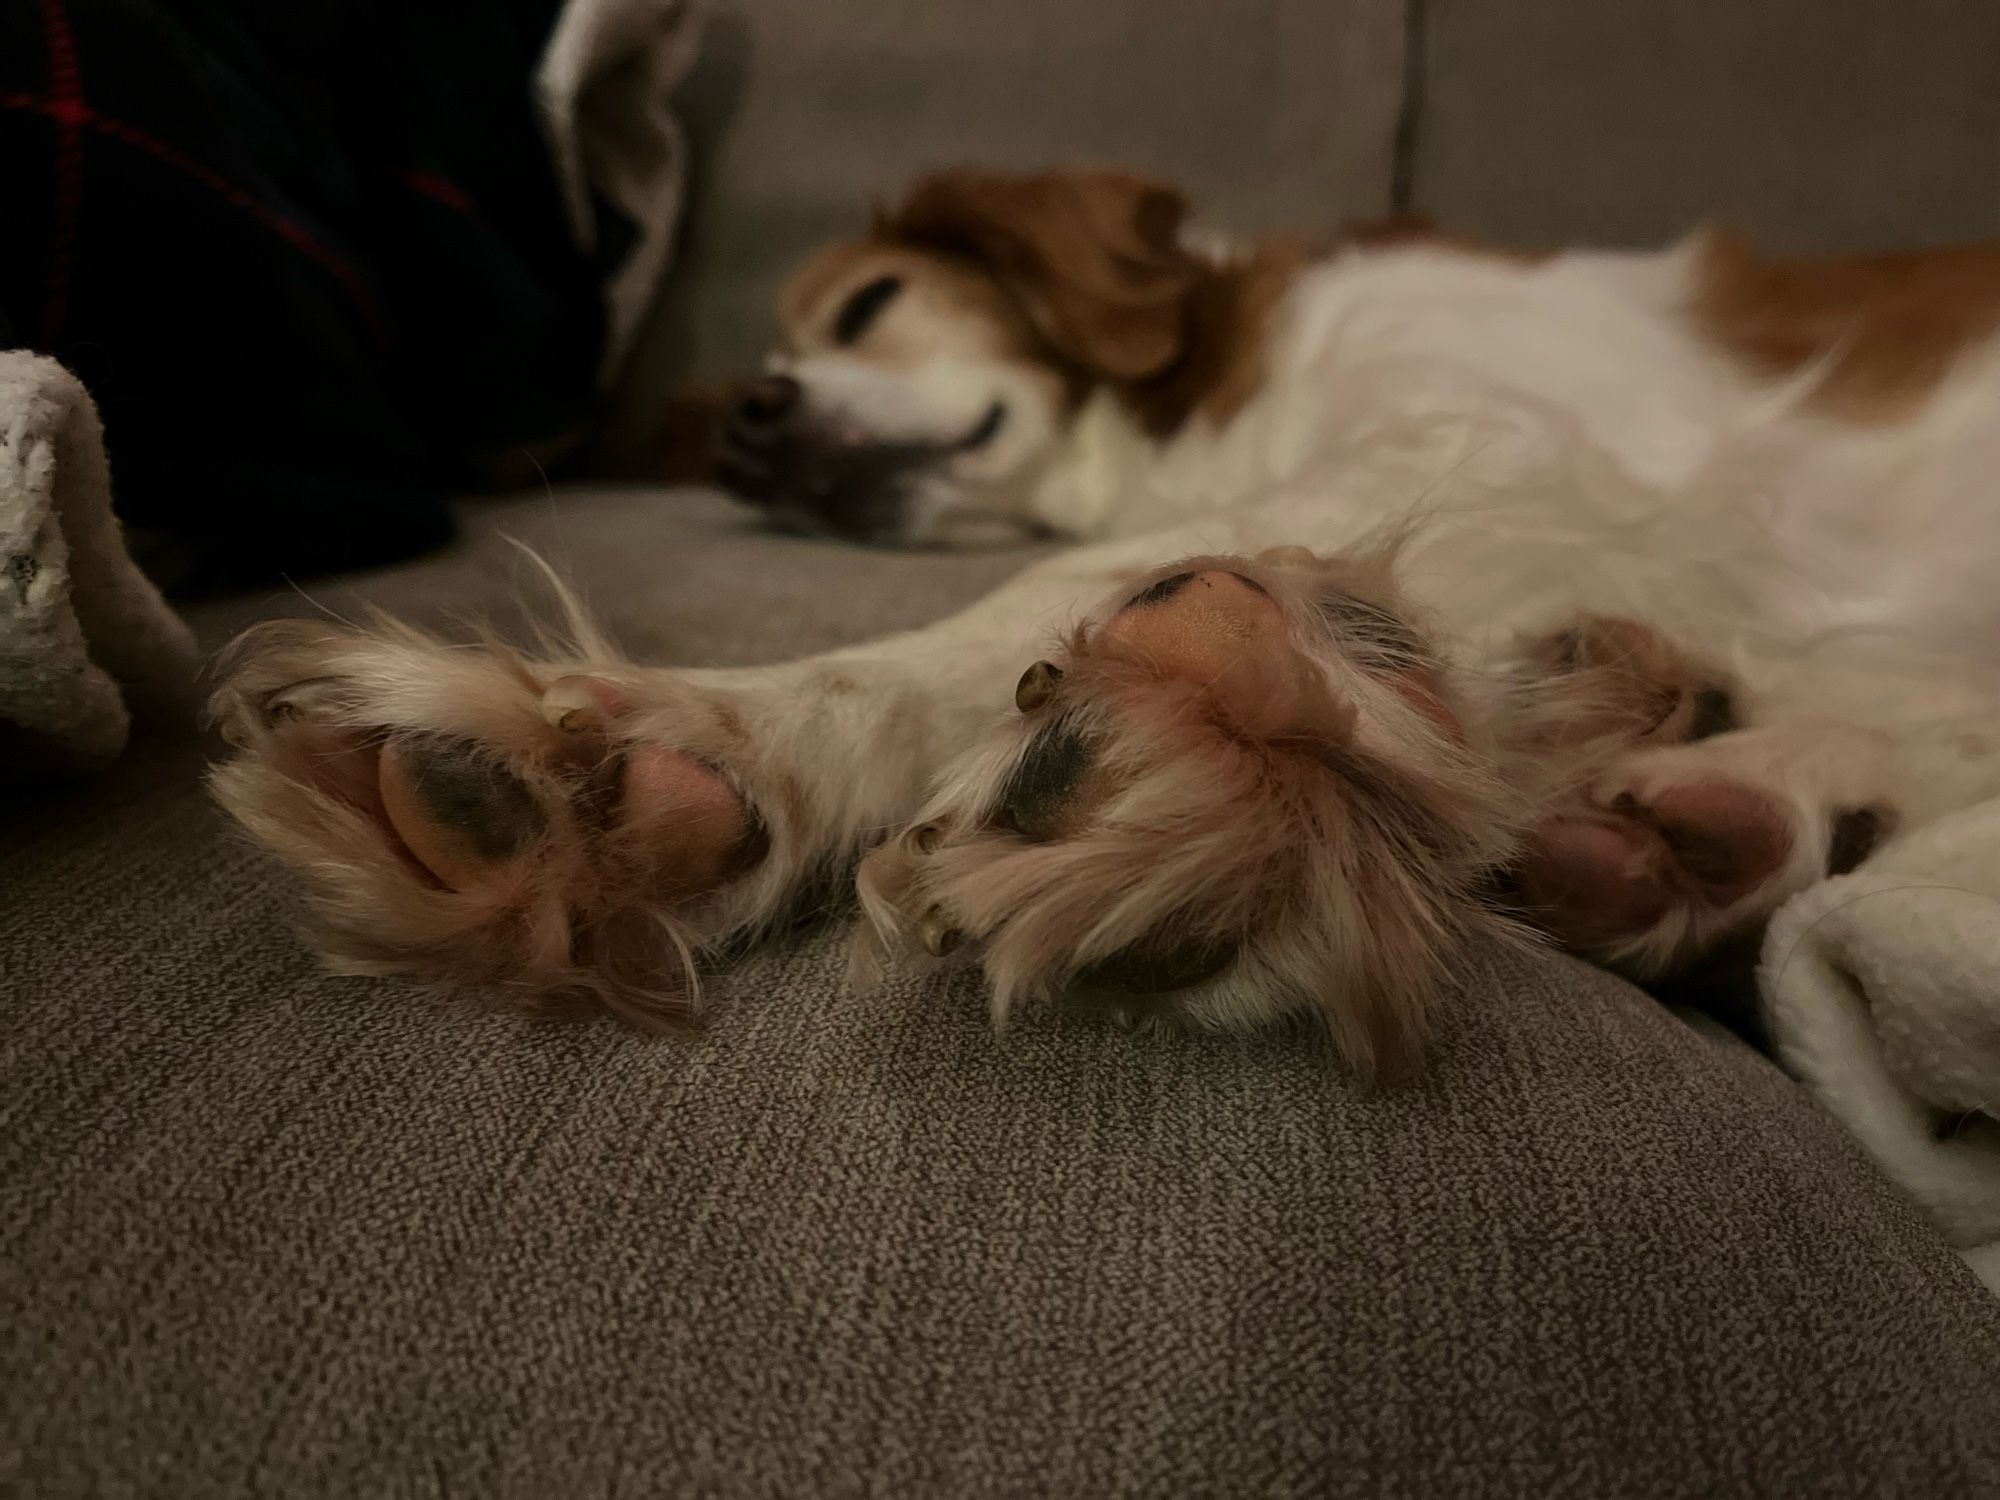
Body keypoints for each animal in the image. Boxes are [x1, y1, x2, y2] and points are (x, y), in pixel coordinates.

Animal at [211, 170, 2000, 1072]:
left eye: (871, 304)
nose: (750, 429)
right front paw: (653, 777)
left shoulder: (1508, 436)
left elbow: (1067, 591)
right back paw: (1690, 806)